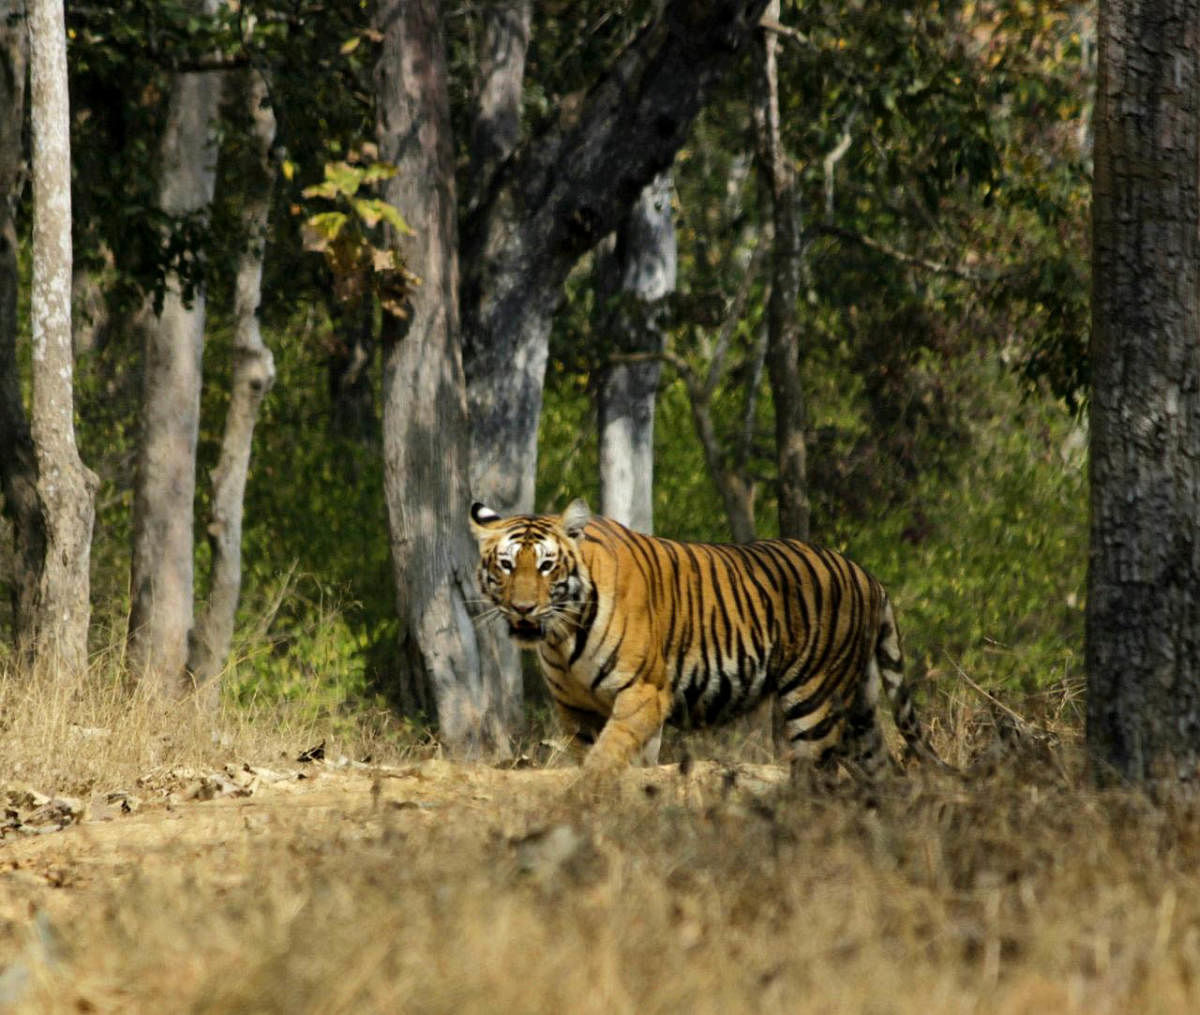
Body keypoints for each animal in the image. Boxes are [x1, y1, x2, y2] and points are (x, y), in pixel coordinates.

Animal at [465, 501, 936, 777]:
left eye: (546, 566)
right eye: (506, 565)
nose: (523, 608)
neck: (562, 637)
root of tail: (867, 576)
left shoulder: (644, 692)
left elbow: (605, 757)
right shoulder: (576, 708)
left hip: (814, 701)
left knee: (819, 775)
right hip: (860, 703)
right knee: (882, 772)